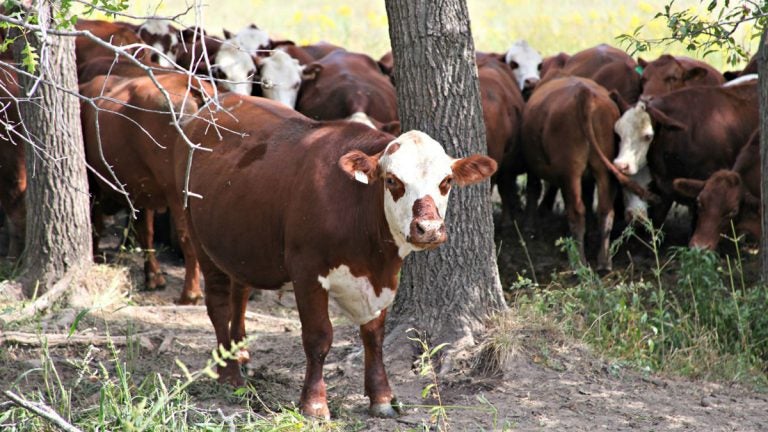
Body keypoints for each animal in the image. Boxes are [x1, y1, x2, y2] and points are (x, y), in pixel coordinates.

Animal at [80, 72, 216, 306]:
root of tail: (190, 85)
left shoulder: (95, 185)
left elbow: (96, 225)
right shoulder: (142, 191)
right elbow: (145, 231)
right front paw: (153, 276)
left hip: (179, 194)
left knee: (189, 239)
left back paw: (190, 293)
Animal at [174, 92, 496, 418]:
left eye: (446, 181)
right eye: (392, 180)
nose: (428, 228)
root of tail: (220, 101)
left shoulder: (383, 278)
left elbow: (373, 336)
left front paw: (381, 396)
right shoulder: (307, 270)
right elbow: (319, 337)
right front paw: (314, 404)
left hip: (240, 244)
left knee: (239, 295)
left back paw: (240, 356)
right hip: (199, 235)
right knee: (219, 305)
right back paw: (228, 373)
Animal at [520, 74, 620, 270]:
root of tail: (585, 94)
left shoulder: (532, 166)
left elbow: (533, 190)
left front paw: (528, 226)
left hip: (570, 172)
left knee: (576, 211)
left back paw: (578, 261)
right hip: (603, 169)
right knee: (605, 209)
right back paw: (604, 261)